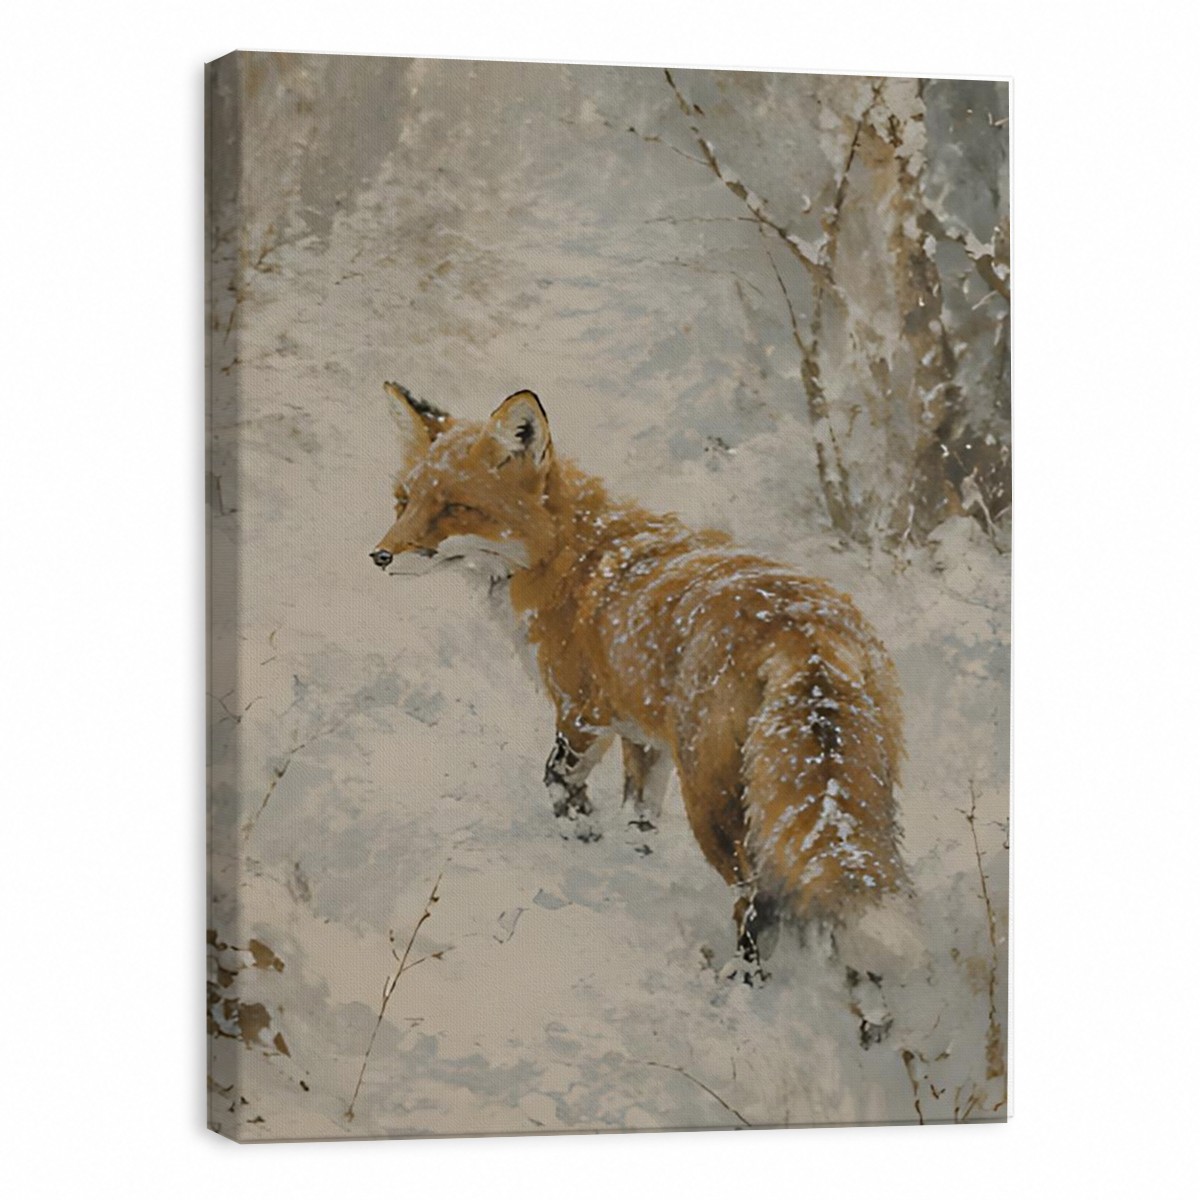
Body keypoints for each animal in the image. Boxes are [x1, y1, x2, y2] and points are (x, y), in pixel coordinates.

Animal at [371, 384, 919, 1041]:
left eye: (455, 507)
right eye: (404, 500)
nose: (379, 556)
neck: (568, 553)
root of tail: (806, 634)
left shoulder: (583, 713)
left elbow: (558, 781)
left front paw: (581, 834)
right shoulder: (643, 736)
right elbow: (639, 817)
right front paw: (631, 859)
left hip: (713, 800)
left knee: (758, 901)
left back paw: (740, 990)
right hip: (850, 797)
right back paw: (874, 1014)